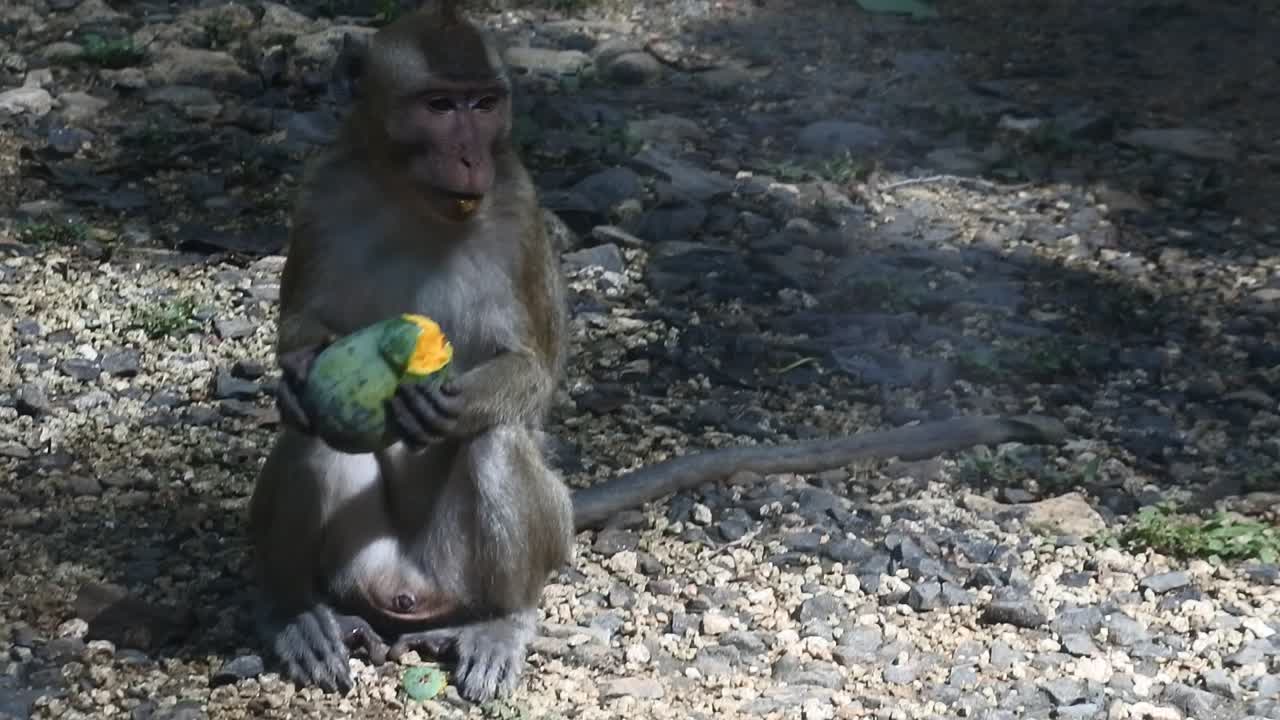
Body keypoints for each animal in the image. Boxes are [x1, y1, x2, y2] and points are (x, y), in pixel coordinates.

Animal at [248, 0, 1070, 704]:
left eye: (484, 104)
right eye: (439, 106)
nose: (472, 157)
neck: (411, 198)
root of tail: (408, 595)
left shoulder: (516, 208)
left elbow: (532, 372)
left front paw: (444, 400)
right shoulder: (322, 192)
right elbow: (301, 339)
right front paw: (296, 378)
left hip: (501, 553)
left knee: (495, 445)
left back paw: (501, 619)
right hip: (364, 567)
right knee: (313, 435)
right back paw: (303, 616)